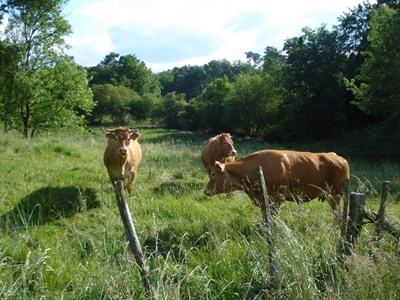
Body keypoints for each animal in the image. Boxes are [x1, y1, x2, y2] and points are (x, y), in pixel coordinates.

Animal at [205, 150, 348, 216]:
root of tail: (338, 157)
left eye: (213, 174)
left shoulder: (275, 199)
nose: (205, 191)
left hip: (336, 194)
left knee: (337, 213)